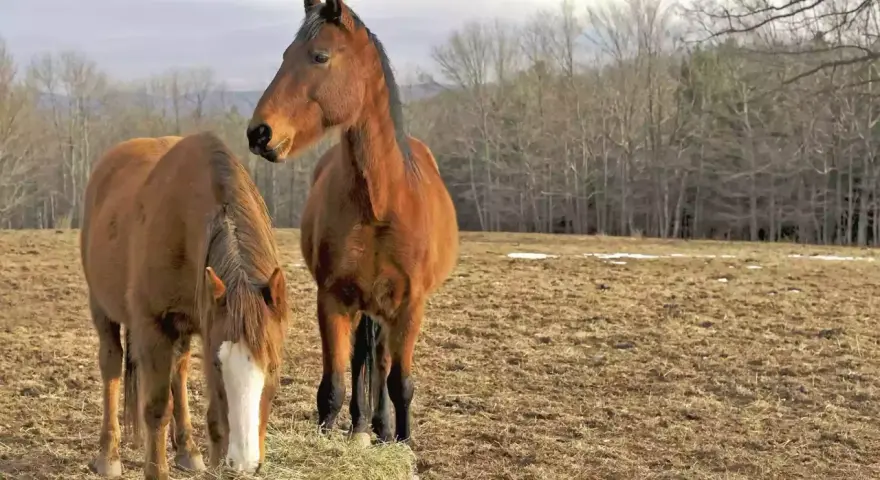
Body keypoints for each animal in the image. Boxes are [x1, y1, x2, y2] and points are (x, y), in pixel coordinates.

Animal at [79, 131, 289, 480]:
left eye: (273, 366)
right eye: (218, 365)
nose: (245, 462)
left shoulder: (205, 323)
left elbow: (215, 419)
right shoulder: (153, 326)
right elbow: (156, 407)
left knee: (178, 371)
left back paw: (187, 450)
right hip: (102, 308)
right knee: (111, 364)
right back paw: (108, 455)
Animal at [245, 0, 459, 446]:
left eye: (320, 56)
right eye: (284, 56)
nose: (259, 133)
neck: (380, 203)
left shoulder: (409, 306)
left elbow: (400, 383)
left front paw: (402, 440)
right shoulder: (332, 299)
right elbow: (334, 385)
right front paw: (332, 433)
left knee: (380, 361)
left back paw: (380, 426)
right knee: (364, 356)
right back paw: (362, 425)